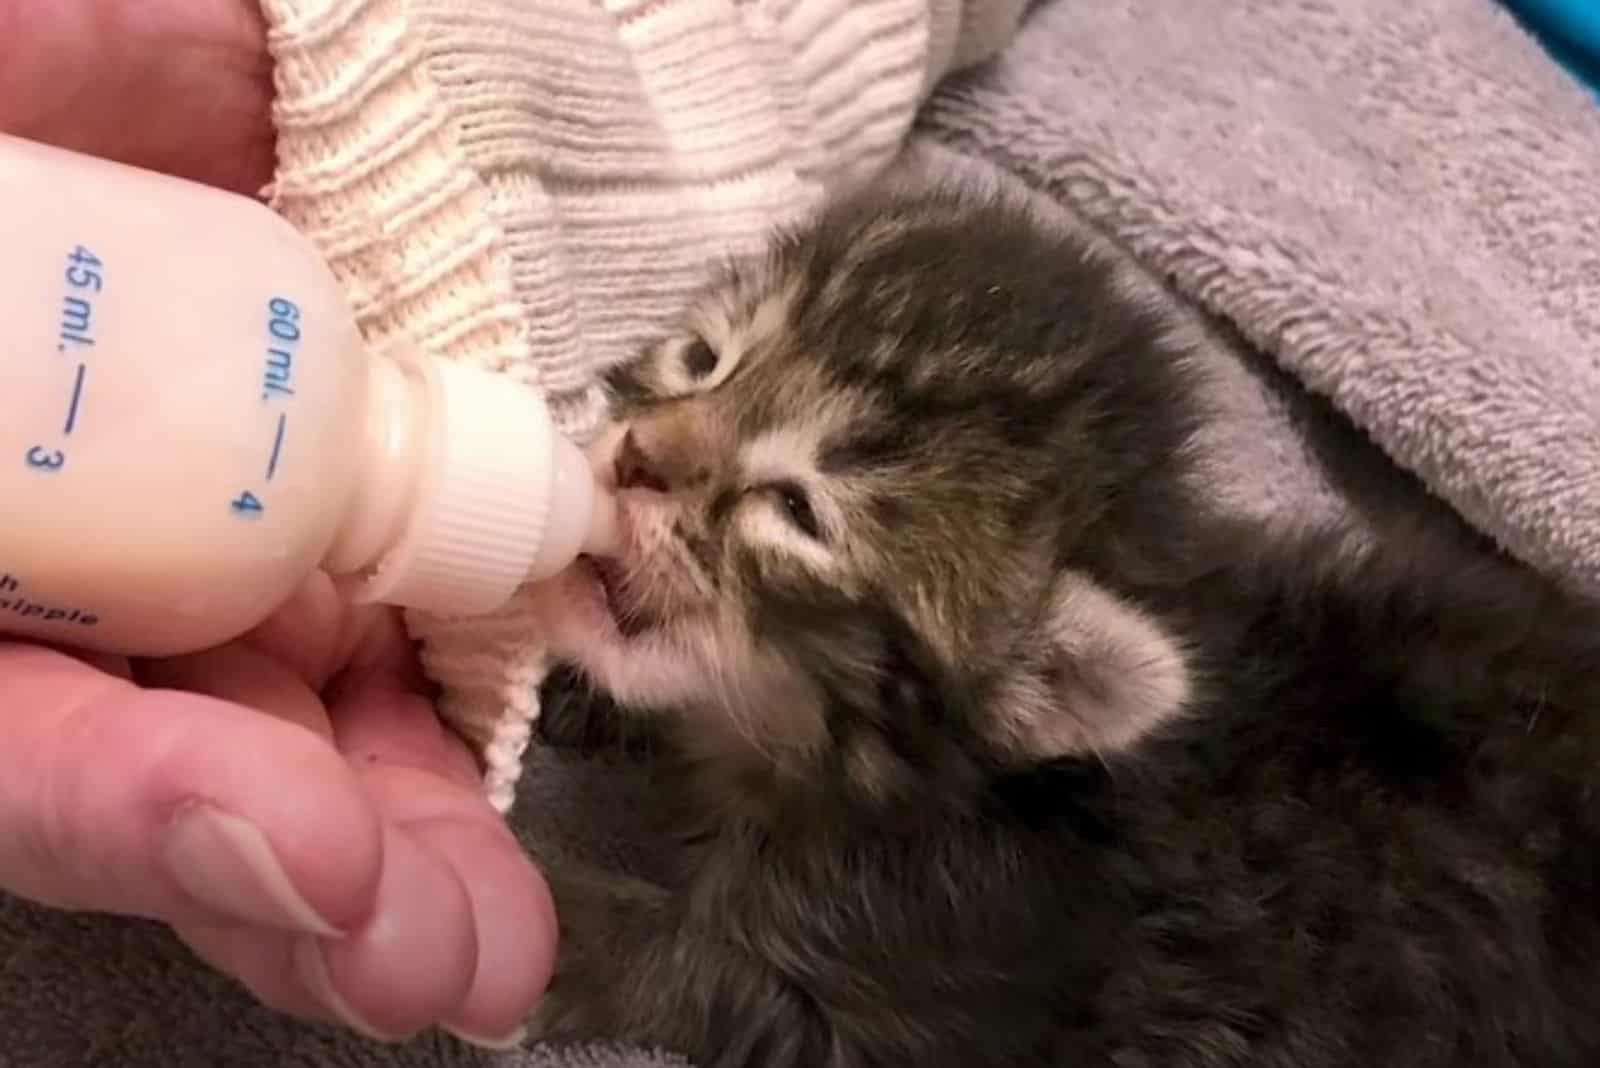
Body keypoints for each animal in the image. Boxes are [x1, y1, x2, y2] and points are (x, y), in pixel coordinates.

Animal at [518, 185, 1600, 1068]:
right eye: (702, 357)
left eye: (797, 512)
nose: (634, 457)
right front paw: (575, 692)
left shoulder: (897, 980)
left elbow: (691, 974)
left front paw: (548, 914)